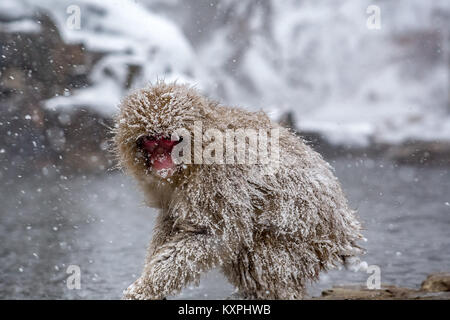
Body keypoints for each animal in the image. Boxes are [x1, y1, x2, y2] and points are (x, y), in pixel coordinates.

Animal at [114, 80, 364, 300]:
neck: (195, 157)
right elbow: (171, 218)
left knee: (259, 250)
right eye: (150, 141)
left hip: (308, 244)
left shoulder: (218, 175)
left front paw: (146, 288)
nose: (161, 160)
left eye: (168, 140)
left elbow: (220, 235)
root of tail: (345, 230)